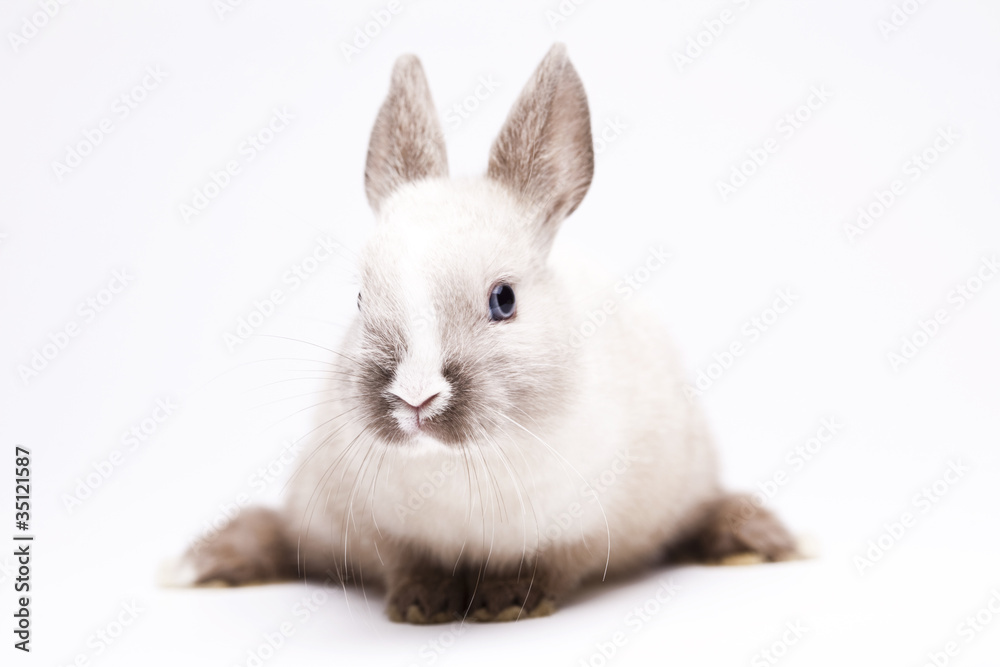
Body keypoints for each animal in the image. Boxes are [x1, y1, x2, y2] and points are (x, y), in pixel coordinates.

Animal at [165, 43, 797, 624]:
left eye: (504, 300)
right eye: (361, 299)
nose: (415, 397)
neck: (453, 468)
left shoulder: (585, 529)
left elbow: (548, 565)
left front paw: (506, 603)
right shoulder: (376, 529)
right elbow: (408, 564)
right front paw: (422, 606)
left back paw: (760, 544)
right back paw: (208, 564)